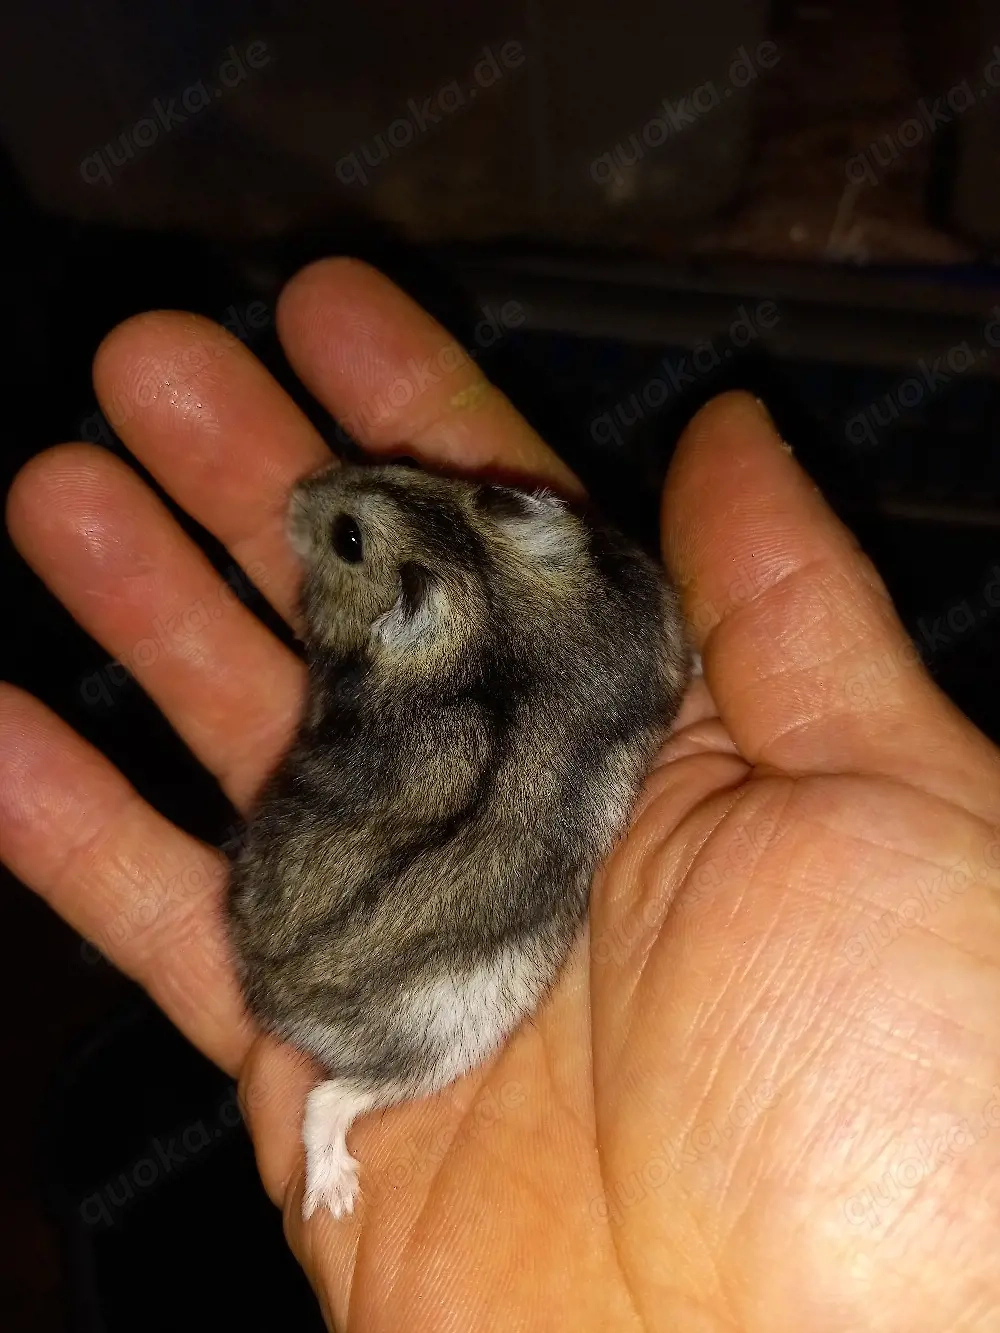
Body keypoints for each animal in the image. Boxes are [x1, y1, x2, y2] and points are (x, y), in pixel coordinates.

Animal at [226, 460, 690, 1219]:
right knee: (331, 1099)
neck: (482, 591)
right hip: (447, 1041)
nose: (299, 490)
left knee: (326, 1098)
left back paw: (334, 1198)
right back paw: (336, 1197)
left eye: (347, 536)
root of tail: (276, 1002)